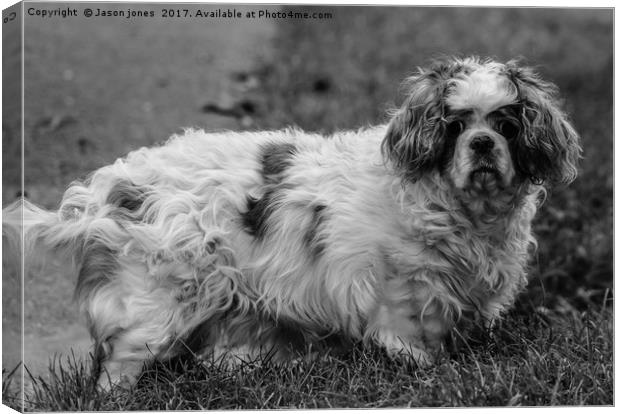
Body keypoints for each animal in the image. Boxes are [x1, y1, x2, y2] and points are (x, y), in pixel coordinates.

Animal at [1, 56, 580, 390]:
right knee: (116, 368)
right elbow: (416, 345)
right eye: (454, 126)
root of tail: (110, 190)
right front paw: (435, 377)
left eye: (507, 125)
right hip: (159, 306)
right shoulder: (404, 294)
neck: (459, 208)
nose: (482, 143)